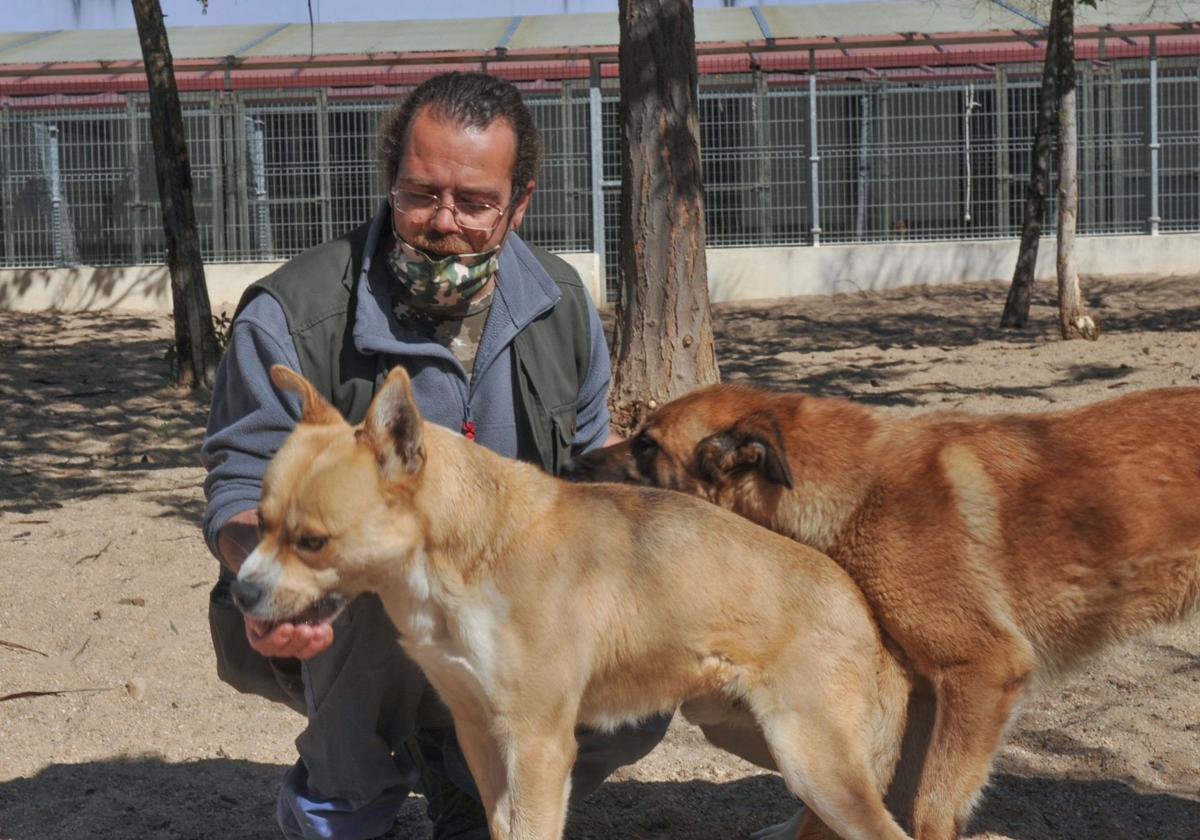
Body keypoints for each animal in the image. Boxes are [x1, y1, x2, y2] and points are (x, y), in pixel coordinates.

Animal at [231, 367, 907, 840]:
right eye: (259, 524)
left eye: (312, 541)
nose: (242, 592)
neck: (465, 560)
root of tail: (863, 609)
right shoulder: (479, 732)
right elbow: (501, 825)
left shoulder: (538, 744)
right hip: (753, 736)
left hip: (813, 760)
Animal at [566, 386, 1200, 840]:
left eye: (645, 445)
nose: (573, 460)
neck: (861, 491)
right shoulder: (923, 694)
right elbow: (877, 794)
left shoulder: (981, 672)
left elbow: (929, 807)